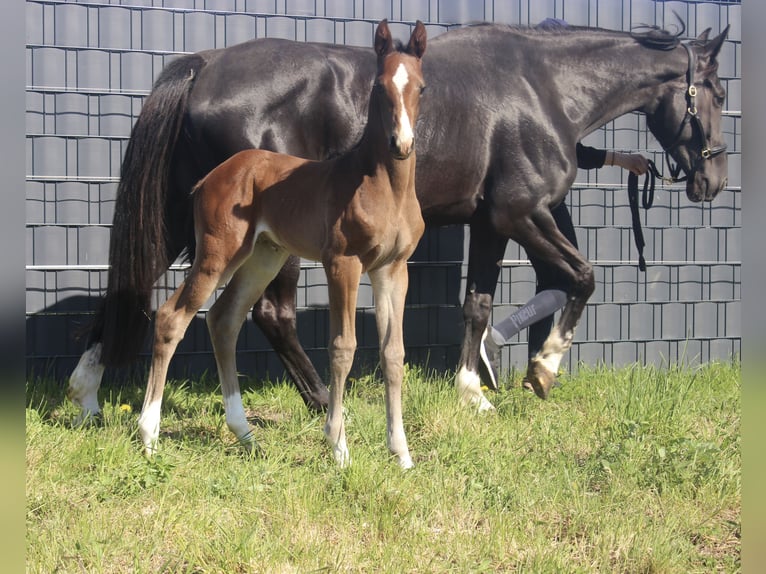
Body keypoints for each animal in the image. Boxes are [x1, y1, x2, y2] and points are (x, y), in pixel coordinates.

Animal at [67, 21, 729, 419]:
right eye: (718, 93)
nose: (713, 180)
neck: (541, 89)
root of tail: (203, 66)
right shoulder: (523, 213)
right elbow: (583, 277)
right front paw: (542, 371)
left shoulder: (490, 223)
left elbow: (478, 304)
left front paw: (472, 391)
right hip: (264, 241)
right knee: (269, 315)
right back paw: (323, 404)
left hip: (193, 223)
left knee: (129, 287)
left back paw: (87, 396)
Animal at [136, 20, 427, 468]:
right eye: (378, 87)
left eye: (421, 88)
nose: (401, 144)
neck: (384, 187)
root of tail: (212, 176)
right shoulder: (342, 263)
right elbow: (343, 347)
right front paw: (339, 448)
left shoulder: (392, 269)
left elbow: (393, 354)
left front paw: (402, 455)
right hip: (218, 253)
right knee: (172, 317)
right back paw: (149, 435)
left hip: (262, 258)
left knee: (223, 319)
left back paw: (245, 434)